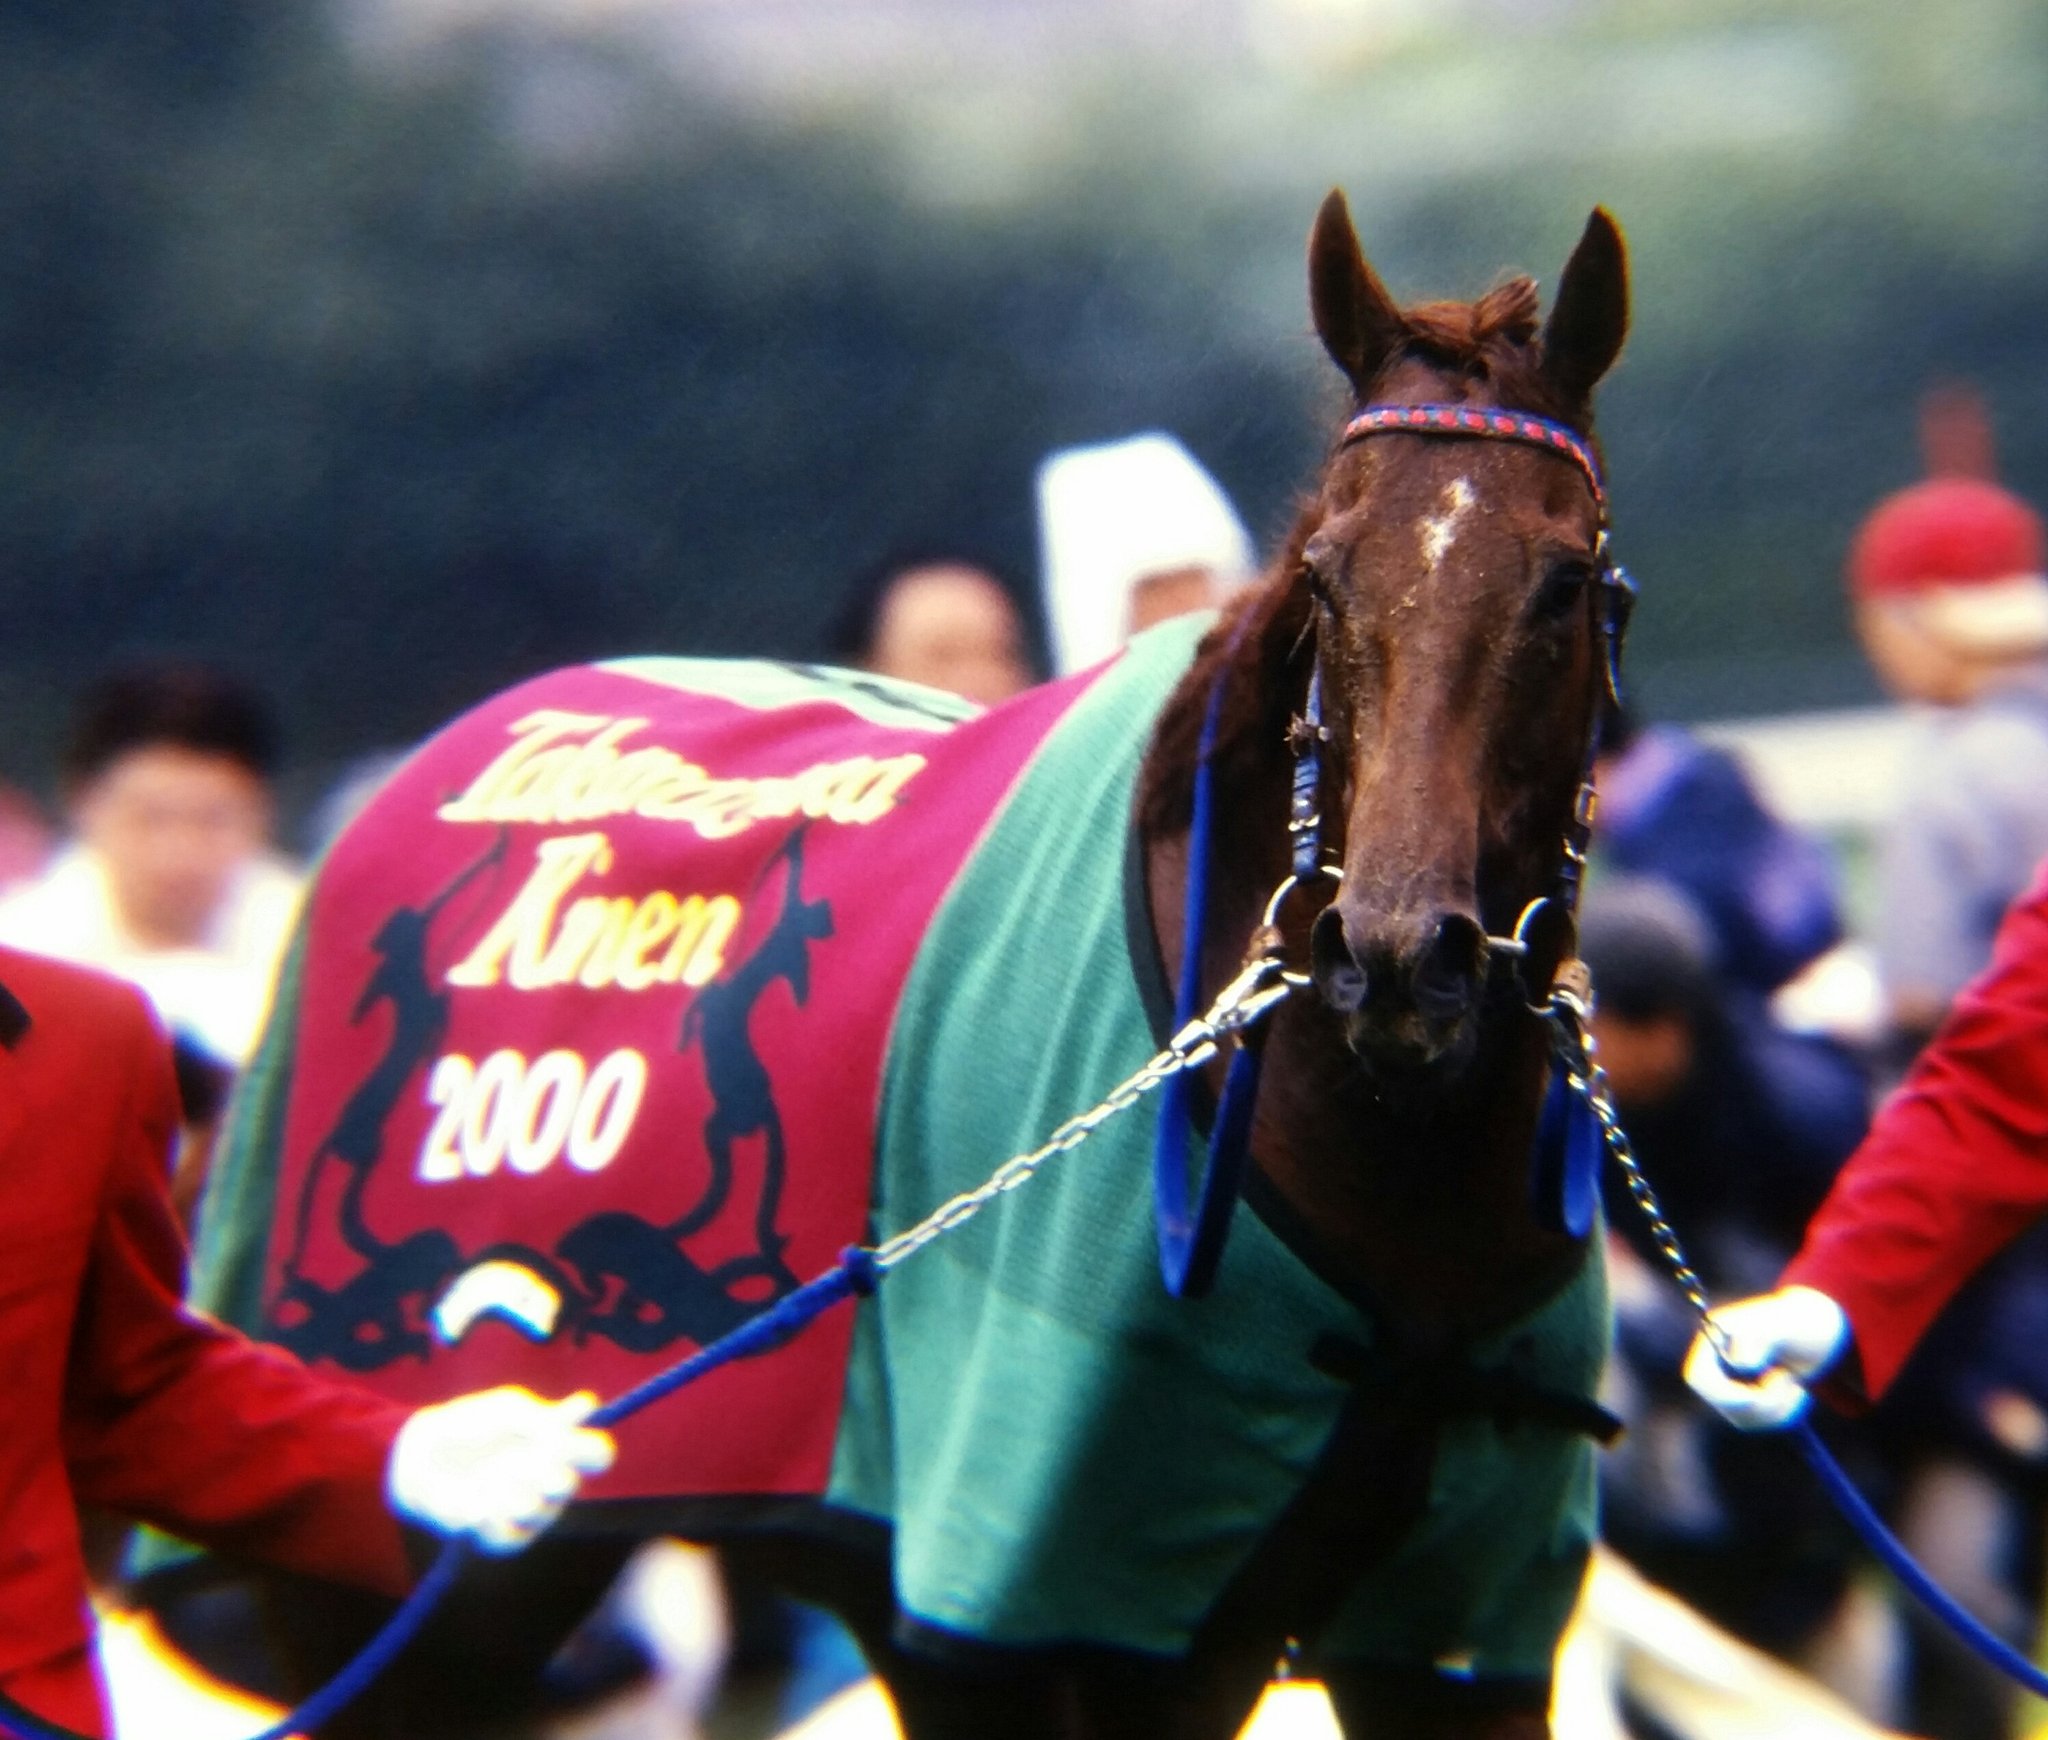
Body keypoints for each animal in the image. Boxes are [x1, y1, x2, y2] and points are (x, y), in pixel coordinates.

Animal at [147, 187, 1632, 1740]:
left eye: (1567, 582)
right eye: (1330, 574)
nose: (1397, 961)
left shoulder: (1438, 1642)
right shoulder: (1041, 1604)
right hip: (407, 1582)